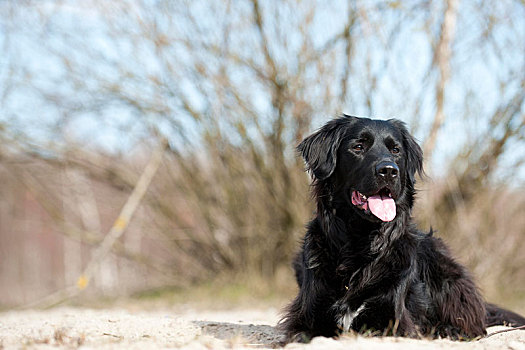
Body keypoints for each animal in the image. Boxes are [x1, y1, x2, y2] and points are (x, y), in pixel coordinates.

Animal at [278, 115, 524, 342]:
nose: (389, 170)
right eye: (358, 147)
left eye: (395, 150)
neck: (360, 242)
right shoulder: (309, 314)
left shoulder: (393, 320)